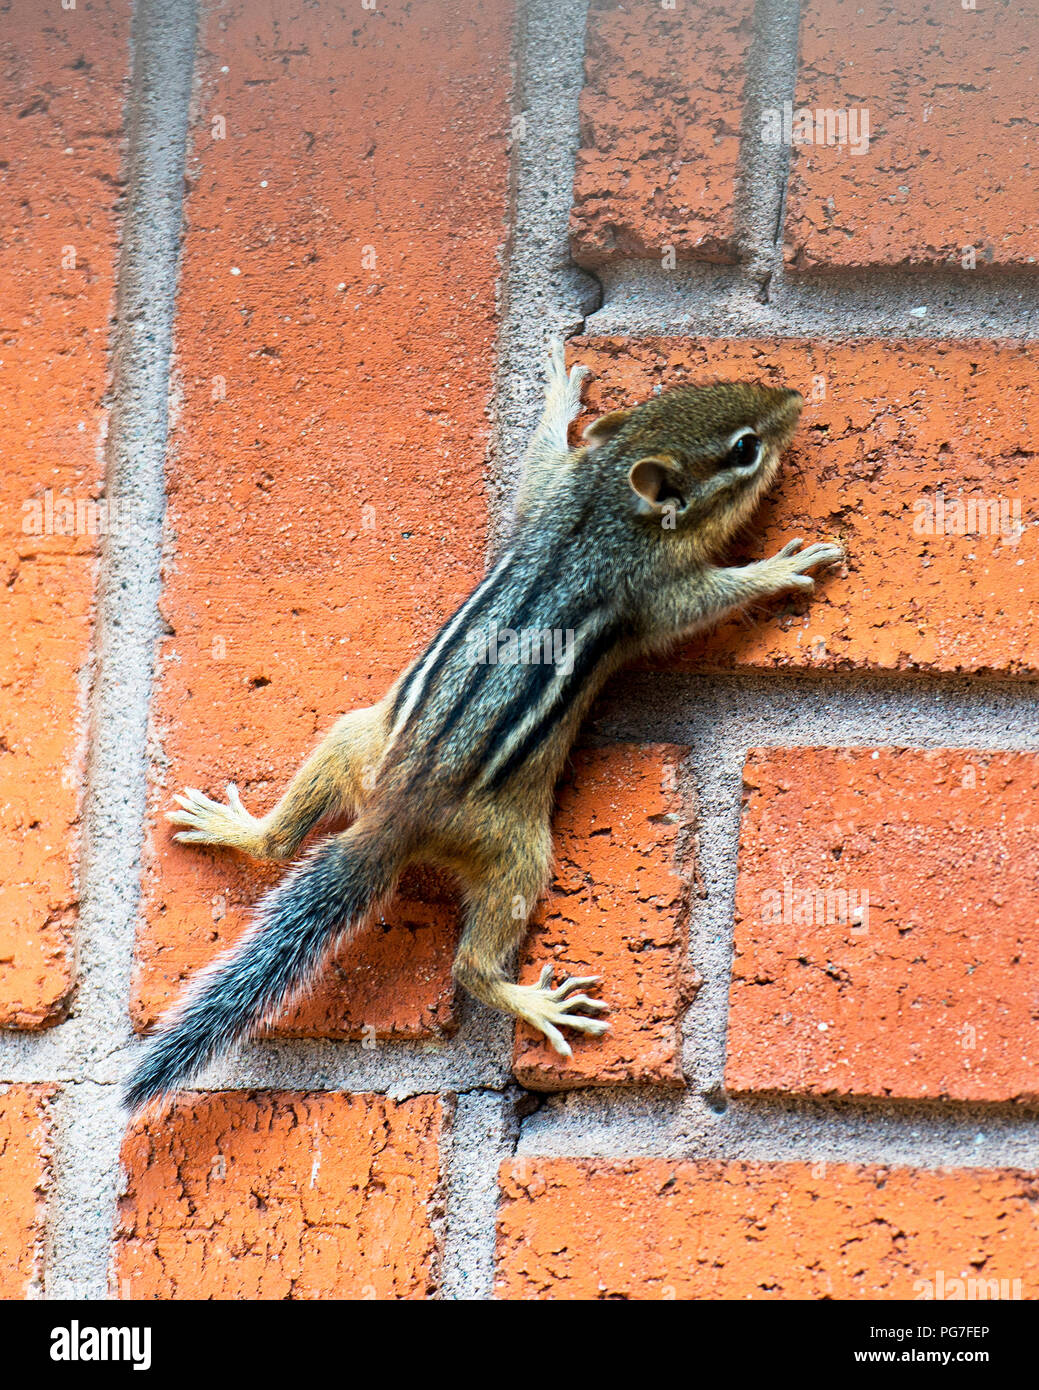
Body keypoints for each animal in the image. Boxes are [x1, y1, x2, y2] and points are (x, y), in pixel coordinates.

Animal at [124, 339, 843, 1112]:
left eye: (691, 389)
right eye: (744, 448)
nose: (793, 399)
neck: (600, 507)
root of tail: (392, 817)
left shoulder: (550, 490)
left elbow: (538, 460)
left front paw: (559, 394)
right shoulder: (655, 593)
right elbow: (709, 597)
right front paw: (781, 567)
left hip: (351, 737)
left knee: (280, 841)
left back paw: (237, 828)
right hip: (518, 849)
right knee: (469, 966)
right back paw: (533, 1003)